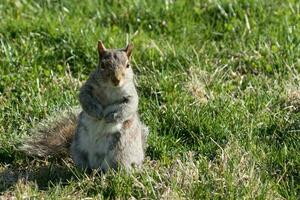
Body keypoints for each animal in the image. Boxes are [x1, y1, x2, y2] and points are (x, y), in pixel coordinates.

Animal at [19, 40, 149, 172]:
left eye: (128, 65)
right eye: (102, 65)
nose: (116, 80)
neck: (111, 88)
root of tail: (97, 166)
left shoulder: (131, 95)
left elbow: (129, 107)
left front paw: (112, 117)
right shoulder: (87, 88)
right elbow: (84, 99)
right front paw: (97, 112)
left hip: (120, 152)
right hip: (79, 148)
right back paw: (82, 170)